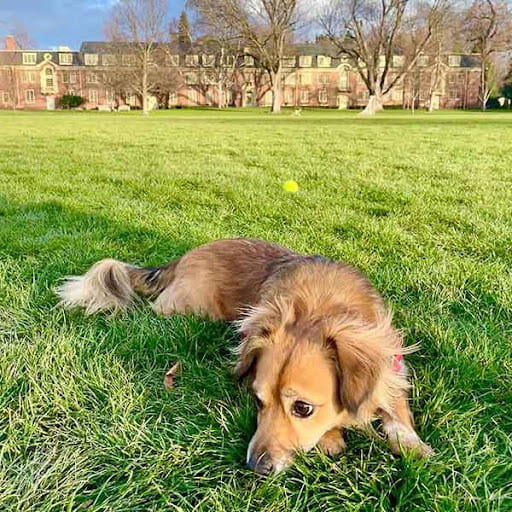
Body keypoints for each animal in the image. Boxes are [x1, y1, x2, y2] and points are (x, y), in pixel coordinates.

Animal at [56, 238, 432, 474]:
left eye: (302, 408)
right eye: (257, 401)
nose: (256, 466)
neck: (319, 306)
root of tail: (184, 257)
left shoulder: (393, 366)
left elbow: (397, 411)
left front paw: (412, 445)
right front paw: (331, 437)